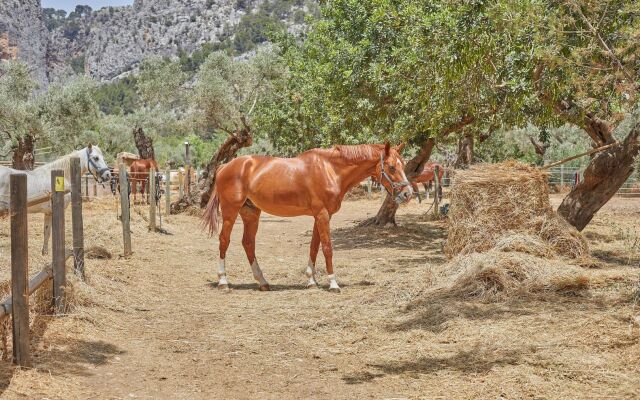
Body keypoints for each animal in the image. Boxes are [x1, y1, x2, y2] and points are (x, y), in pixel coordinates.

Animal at [205, 142, 416, 292]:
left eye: (403, 164)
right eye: (391, 167)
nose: (408, 194)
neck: (331, 170)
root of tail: (225, 166)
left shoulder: (320, 216)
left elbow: (314, 247)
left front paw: (311, 281)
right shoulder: (322, 215)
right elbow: (327, 248)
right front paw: (333, 283)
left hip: (251, 213)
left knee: (248, 243)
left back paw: (263, 282)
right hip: (230, 212)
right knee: (224, 240)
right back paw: (223, 281)